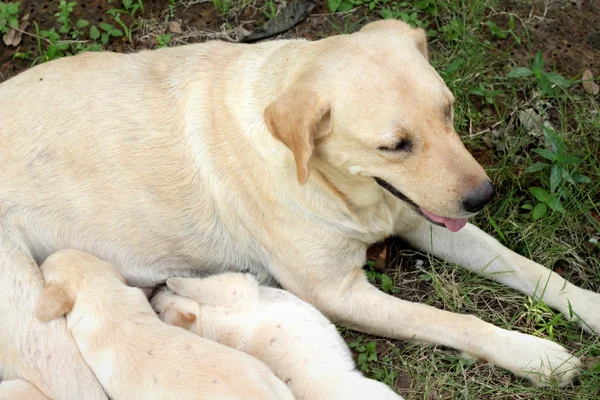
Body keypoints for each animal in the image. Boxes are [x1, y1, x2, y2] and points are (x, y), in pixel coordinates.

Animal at [154, 272, 404, 400]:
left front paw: (172, 282)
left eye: (155, 311)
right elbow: (204, 285)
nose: (154, 291)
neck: (205, 323)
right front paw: (175, 282)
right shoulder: (237, 289)